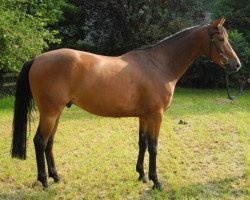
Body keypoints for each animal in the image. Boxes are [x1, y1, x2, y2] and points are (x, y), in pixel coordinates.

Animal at [11, 18, 240, 191]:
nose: (236, 65)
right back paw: (44, 182)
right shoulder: (156, 115)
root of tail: (37, 58)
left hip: (56, 113)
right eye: (220, 39)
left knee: (49, 143)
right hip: (50, 113)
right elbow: (154, 146)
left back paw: (56, 177)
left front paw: (142, 175)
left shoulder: (144, 116)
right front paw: (156, 181)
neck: (159, 64)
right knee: (40, 141)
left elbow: (143, 143)